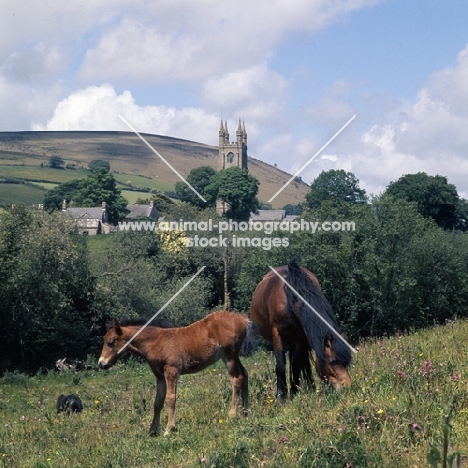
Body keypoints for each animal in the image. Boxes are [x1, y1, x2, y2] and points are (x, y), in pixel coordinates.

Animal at [98, 310, 249, 436]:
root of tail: (242, 319)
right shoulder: (159, 376)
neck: (156, 342)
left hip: (229, 356)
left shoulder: (171, 370)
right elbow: (157, 402)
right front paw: (153, 430)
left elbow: (170, 398)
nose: (101, 364)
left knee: (237, 379)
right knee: (245, 375)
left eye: (110, 342)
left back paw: (232, 414)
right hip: (234, 357)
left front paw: (168, 429)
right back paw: (246, 413)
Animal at [249, 264, 352, 402]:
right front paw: (281, 397)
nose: (347, 386)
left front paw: (294, 393)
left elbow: (297, 365)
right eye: (332, 361)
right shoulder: (277, 334)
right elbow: (280, 366)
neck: (291, 297)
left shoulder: (301, 339)